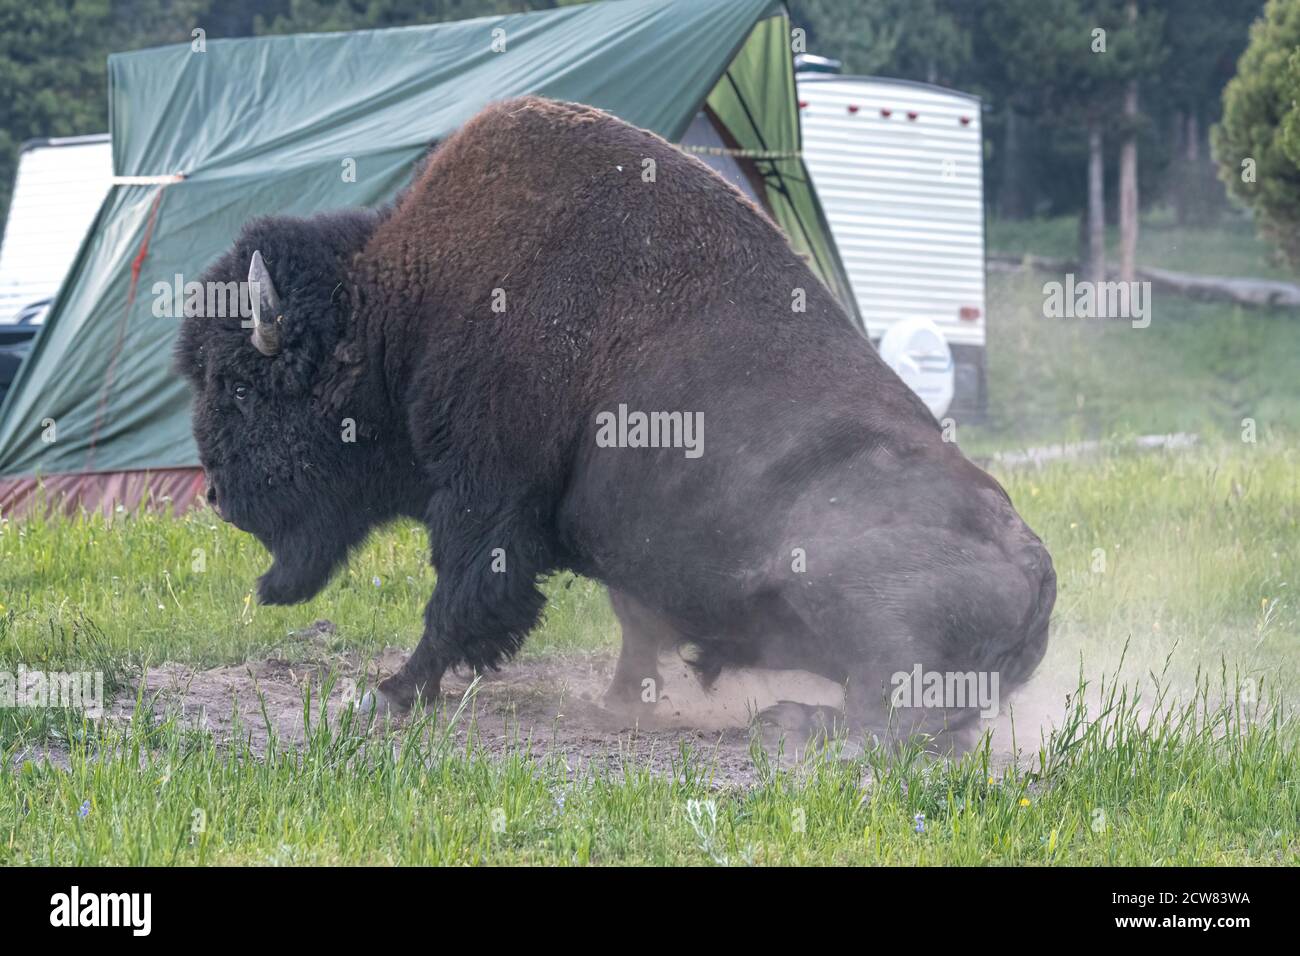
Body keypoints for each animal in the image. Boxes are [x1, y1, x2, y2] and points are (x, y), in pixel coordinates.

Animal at [175, 97, 1055, 738]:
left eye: (243, 387)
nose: (216, 495)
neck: (403, 307)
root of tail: (1039, 563)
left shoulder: (486, 499)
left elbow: (460, 597)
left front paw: (389, 693)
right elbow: (634, 618)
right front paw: (622, 700)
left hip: (843, 588)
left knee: (896, 716)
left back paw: (790, 722)